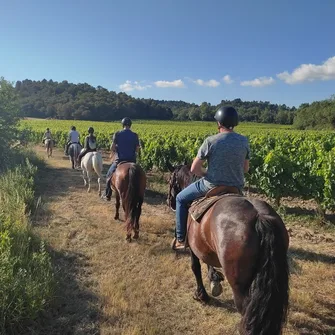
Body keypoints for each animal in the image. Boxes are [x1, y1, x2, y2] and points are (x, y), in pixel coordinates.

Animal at [167, 161, 290, 334]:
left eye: (170, 180)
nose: (170, 202)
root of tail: (260, 217)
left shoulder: (193, 247)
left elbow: (195, 267)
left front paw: (201, 295)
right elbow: (207, 260)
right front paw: (214, 279)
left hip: (239, 285)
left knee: (245, 310)